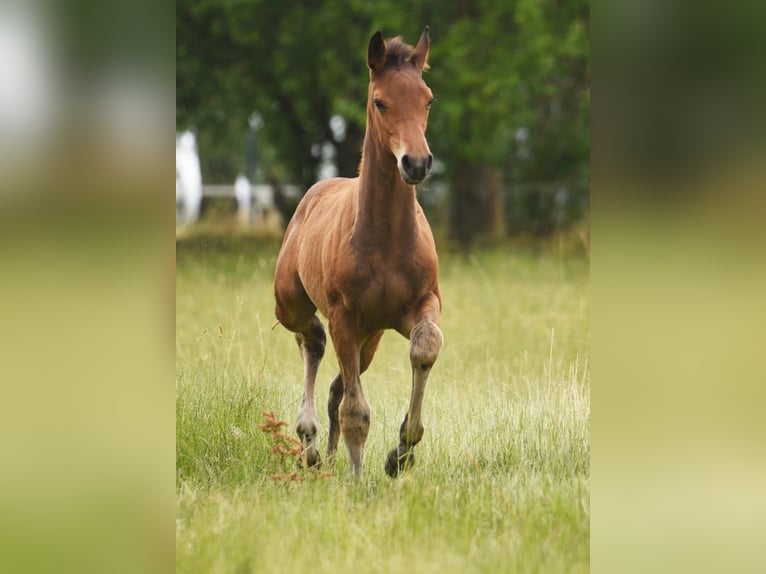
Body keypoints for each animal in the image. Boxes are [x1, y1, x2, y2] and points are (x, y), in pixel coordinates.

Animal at [274, 25, 444, 476]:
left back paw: (327, 454)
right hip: (292, 305)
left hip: (372, 337)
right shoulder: (345, 318)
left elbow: (425, 347)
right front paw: (356, 478)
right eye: (380, 101)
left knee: (335, 383)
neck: (386, 238)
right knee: (312, 340)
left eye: (428, 99)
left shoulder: (423, 303)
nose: (416, 163)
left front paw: (401, 452)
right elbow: (356, 412)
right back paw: (310, 443)